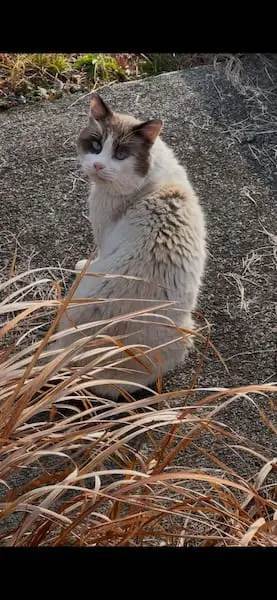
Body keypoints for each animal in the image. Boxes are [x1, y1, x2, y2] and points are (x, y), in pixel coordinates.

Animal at [51, 92, 206, 398]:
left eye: (121, 154)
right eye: (96, 145)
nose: (98, 165)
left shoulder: (102, 240)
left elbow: (93, 258)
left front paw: (81, 264)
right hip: (187, 333)